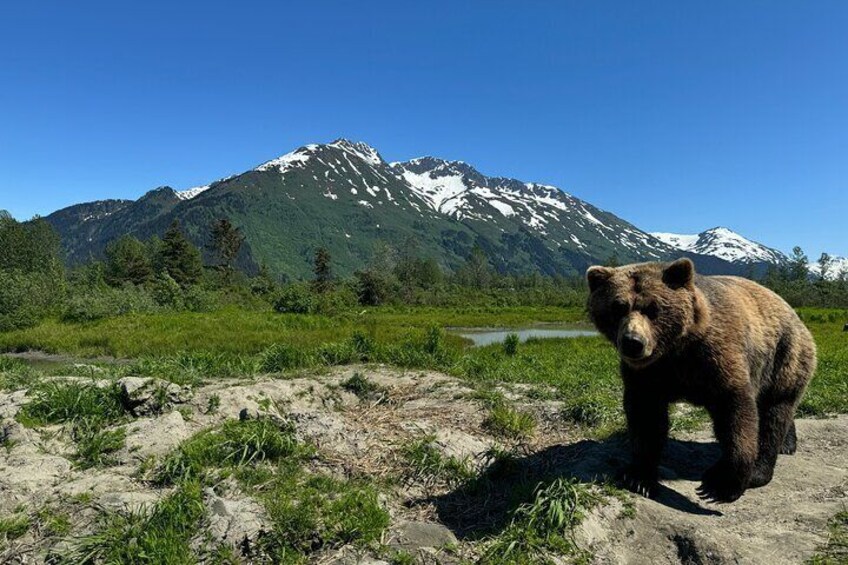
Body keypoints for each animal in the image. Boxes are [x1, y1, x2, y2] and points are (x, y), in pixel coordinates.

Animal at [588, 258, 820, 500]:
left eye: (653, 308)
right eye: (617, 307)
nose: (633, 342)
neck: (675, 350)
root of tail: (794, 313)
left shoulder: (716, 357)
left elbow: (736, 411)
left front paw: (722, 483)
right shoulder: (648, 373)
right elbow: (646, 417)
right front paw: (639, 476)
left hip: (783, 356)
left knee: (774, 413)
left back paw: (761, 467)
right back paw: (787, 444)